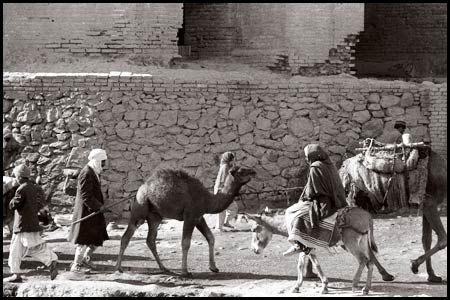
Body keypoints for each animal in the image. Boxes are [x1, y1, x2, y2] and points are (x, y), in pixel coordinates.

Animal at [115, 166, 256, 276]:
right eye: (241, 171)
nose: (254, 171)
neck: (208, 200)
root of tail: (140, 188)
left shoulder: (199, 217)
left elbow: (210, 237)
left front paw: (213, 267)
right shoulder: (190, 216)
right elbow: (186, 243)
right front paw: (185, 271)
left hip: (155, 216)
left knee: (150, 240)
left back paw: (164, 268)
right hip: (140, 208)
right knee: (127, 236)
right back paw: (118, 268)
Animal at [248, 207, 392, 294]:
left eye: (254, 229)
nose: (254, 250)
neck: (289, 221)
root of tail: (367, 215)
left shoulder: (304, 246)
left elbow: (302, 265)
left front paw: (299, 286)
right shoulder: (307, 248)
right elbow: (313, 264)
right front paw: (323, 286)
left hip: (351, 243)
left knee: (363, 260)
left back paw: (356, 284)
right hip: (361, 242)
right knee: (370, 261)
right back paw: (366, 288)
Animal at [342, 151, 446, 282]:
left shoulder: (425, 205)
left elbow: (426, 240)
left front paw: (432, 275)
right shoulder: (430, 202)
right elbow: (442, 239)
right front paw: (414, 265)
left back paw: (383, 273)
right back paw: (384, 274)